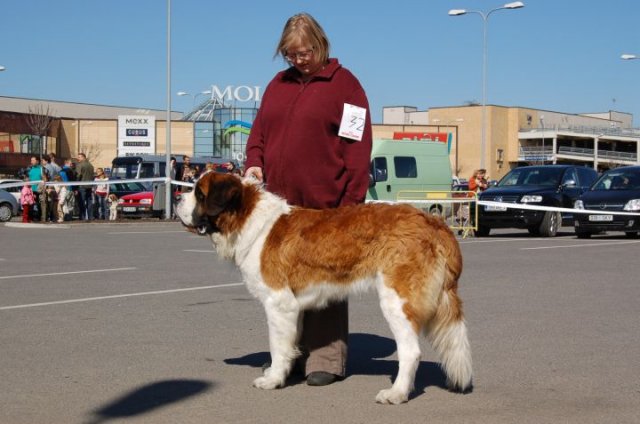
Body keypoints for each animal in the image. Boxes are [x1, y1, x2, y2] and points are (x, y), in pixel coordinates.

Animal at [175, 172, 470, 404]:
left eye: (199, 193)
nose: (177, 197)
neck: (247, 219)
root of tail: (434, 222)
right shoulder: (294, 307)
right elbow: (290, 344)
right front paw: (284, 371)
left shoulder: (278, 303)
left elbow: (276, 345)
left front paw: (273, 380)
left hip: (396, 300)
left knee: (410, 351)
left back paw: (396, 393)